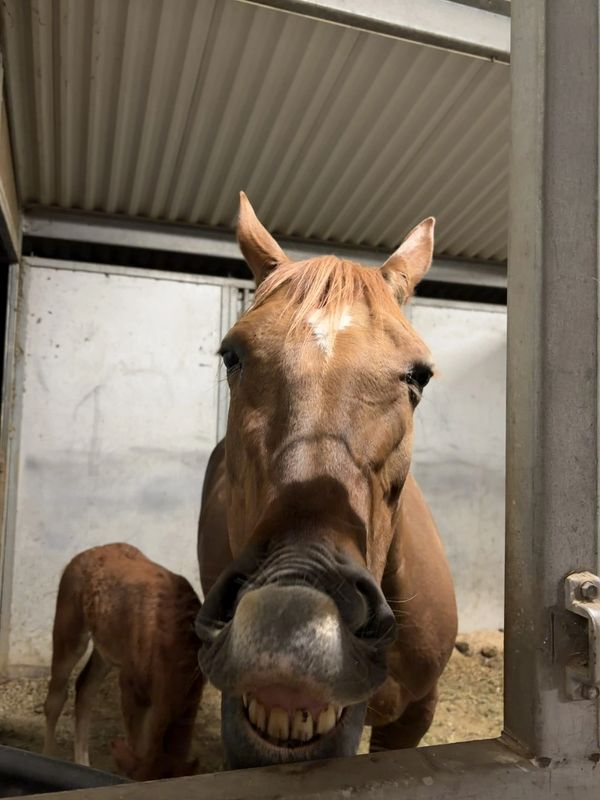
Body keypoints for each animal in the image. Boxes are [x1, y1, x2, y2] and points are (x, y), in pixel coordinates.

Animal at [43, 543, 203, 780]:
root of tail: (81, 555)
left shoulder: (192, 695)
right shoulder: (131, 685)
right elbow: (138, 746)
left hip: (106, 649)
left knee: (85, 689)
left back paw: (83, 764)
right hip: (69, 626)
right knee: (56, 696)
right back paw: (49, 757)